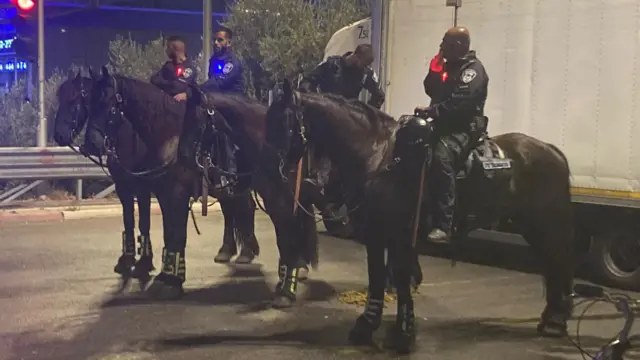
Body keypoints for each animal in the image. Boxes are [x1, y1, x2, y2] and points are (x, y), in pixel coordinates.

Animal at [82, 66, 318, 306]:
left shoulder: (174, 194)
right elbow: (169, 234)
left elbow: (176, 235)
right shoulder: (162, 195)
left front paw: (171, 282)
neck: (168, 134)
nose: (89, 143)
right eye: (89, 103)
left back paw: (293, 269)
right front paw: (167, 276)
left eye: (109, 103)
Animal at [264, 80, 576, 352]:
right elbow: (376, 279)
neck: (378, 156)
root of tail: (553, 151)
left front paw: (403, 334)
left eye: (283, 121)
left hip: (544, 224)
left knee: (558, 263)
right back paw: (553, 319)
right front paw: (366, 326)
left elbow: (401, 281)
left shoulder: (400, 236)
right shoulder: (375, 234)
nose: (277, 172)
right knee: (552, 265)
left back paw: (555, 321)